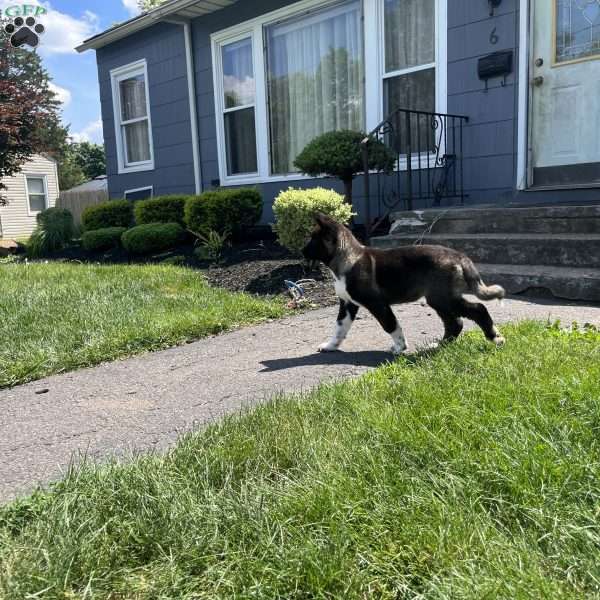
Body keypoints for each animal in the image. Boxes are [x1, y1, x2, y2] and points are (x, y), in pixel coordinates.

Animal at [302, 214, 504, 356]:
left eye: (313, 239)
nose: (301, 251)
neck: (346, 257)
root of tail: (459, 256)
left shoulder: (377, 304)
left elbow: (390, 324)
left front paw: (400, 347)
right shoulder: (347, 304)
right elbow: (339, 328)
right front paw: (330, 346)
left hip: (443, 298)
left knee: (478, 309)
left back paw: (495, 338)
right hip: (438, 299)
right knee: (455, 322)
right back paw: (440, 345)